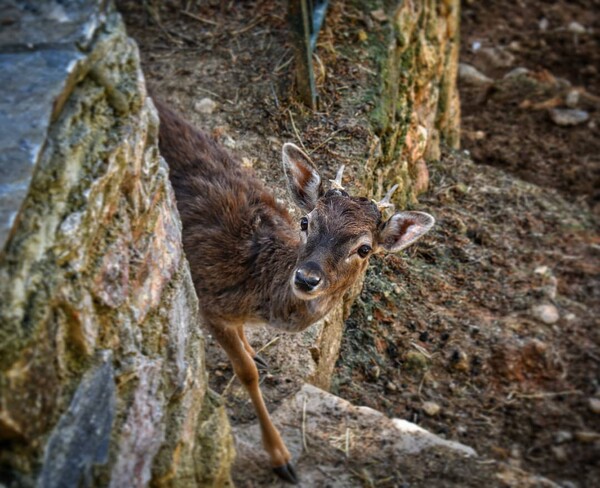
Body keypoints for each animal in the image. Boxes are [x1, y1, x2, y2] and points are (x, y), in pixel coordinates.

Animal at [152, 97, 434, 482]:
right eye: (306, 221)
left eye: (364, 248)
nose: (306, 278)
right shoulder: (207, 298)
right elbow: (247, 373)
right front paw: (281, 458)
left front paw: (253, 350)